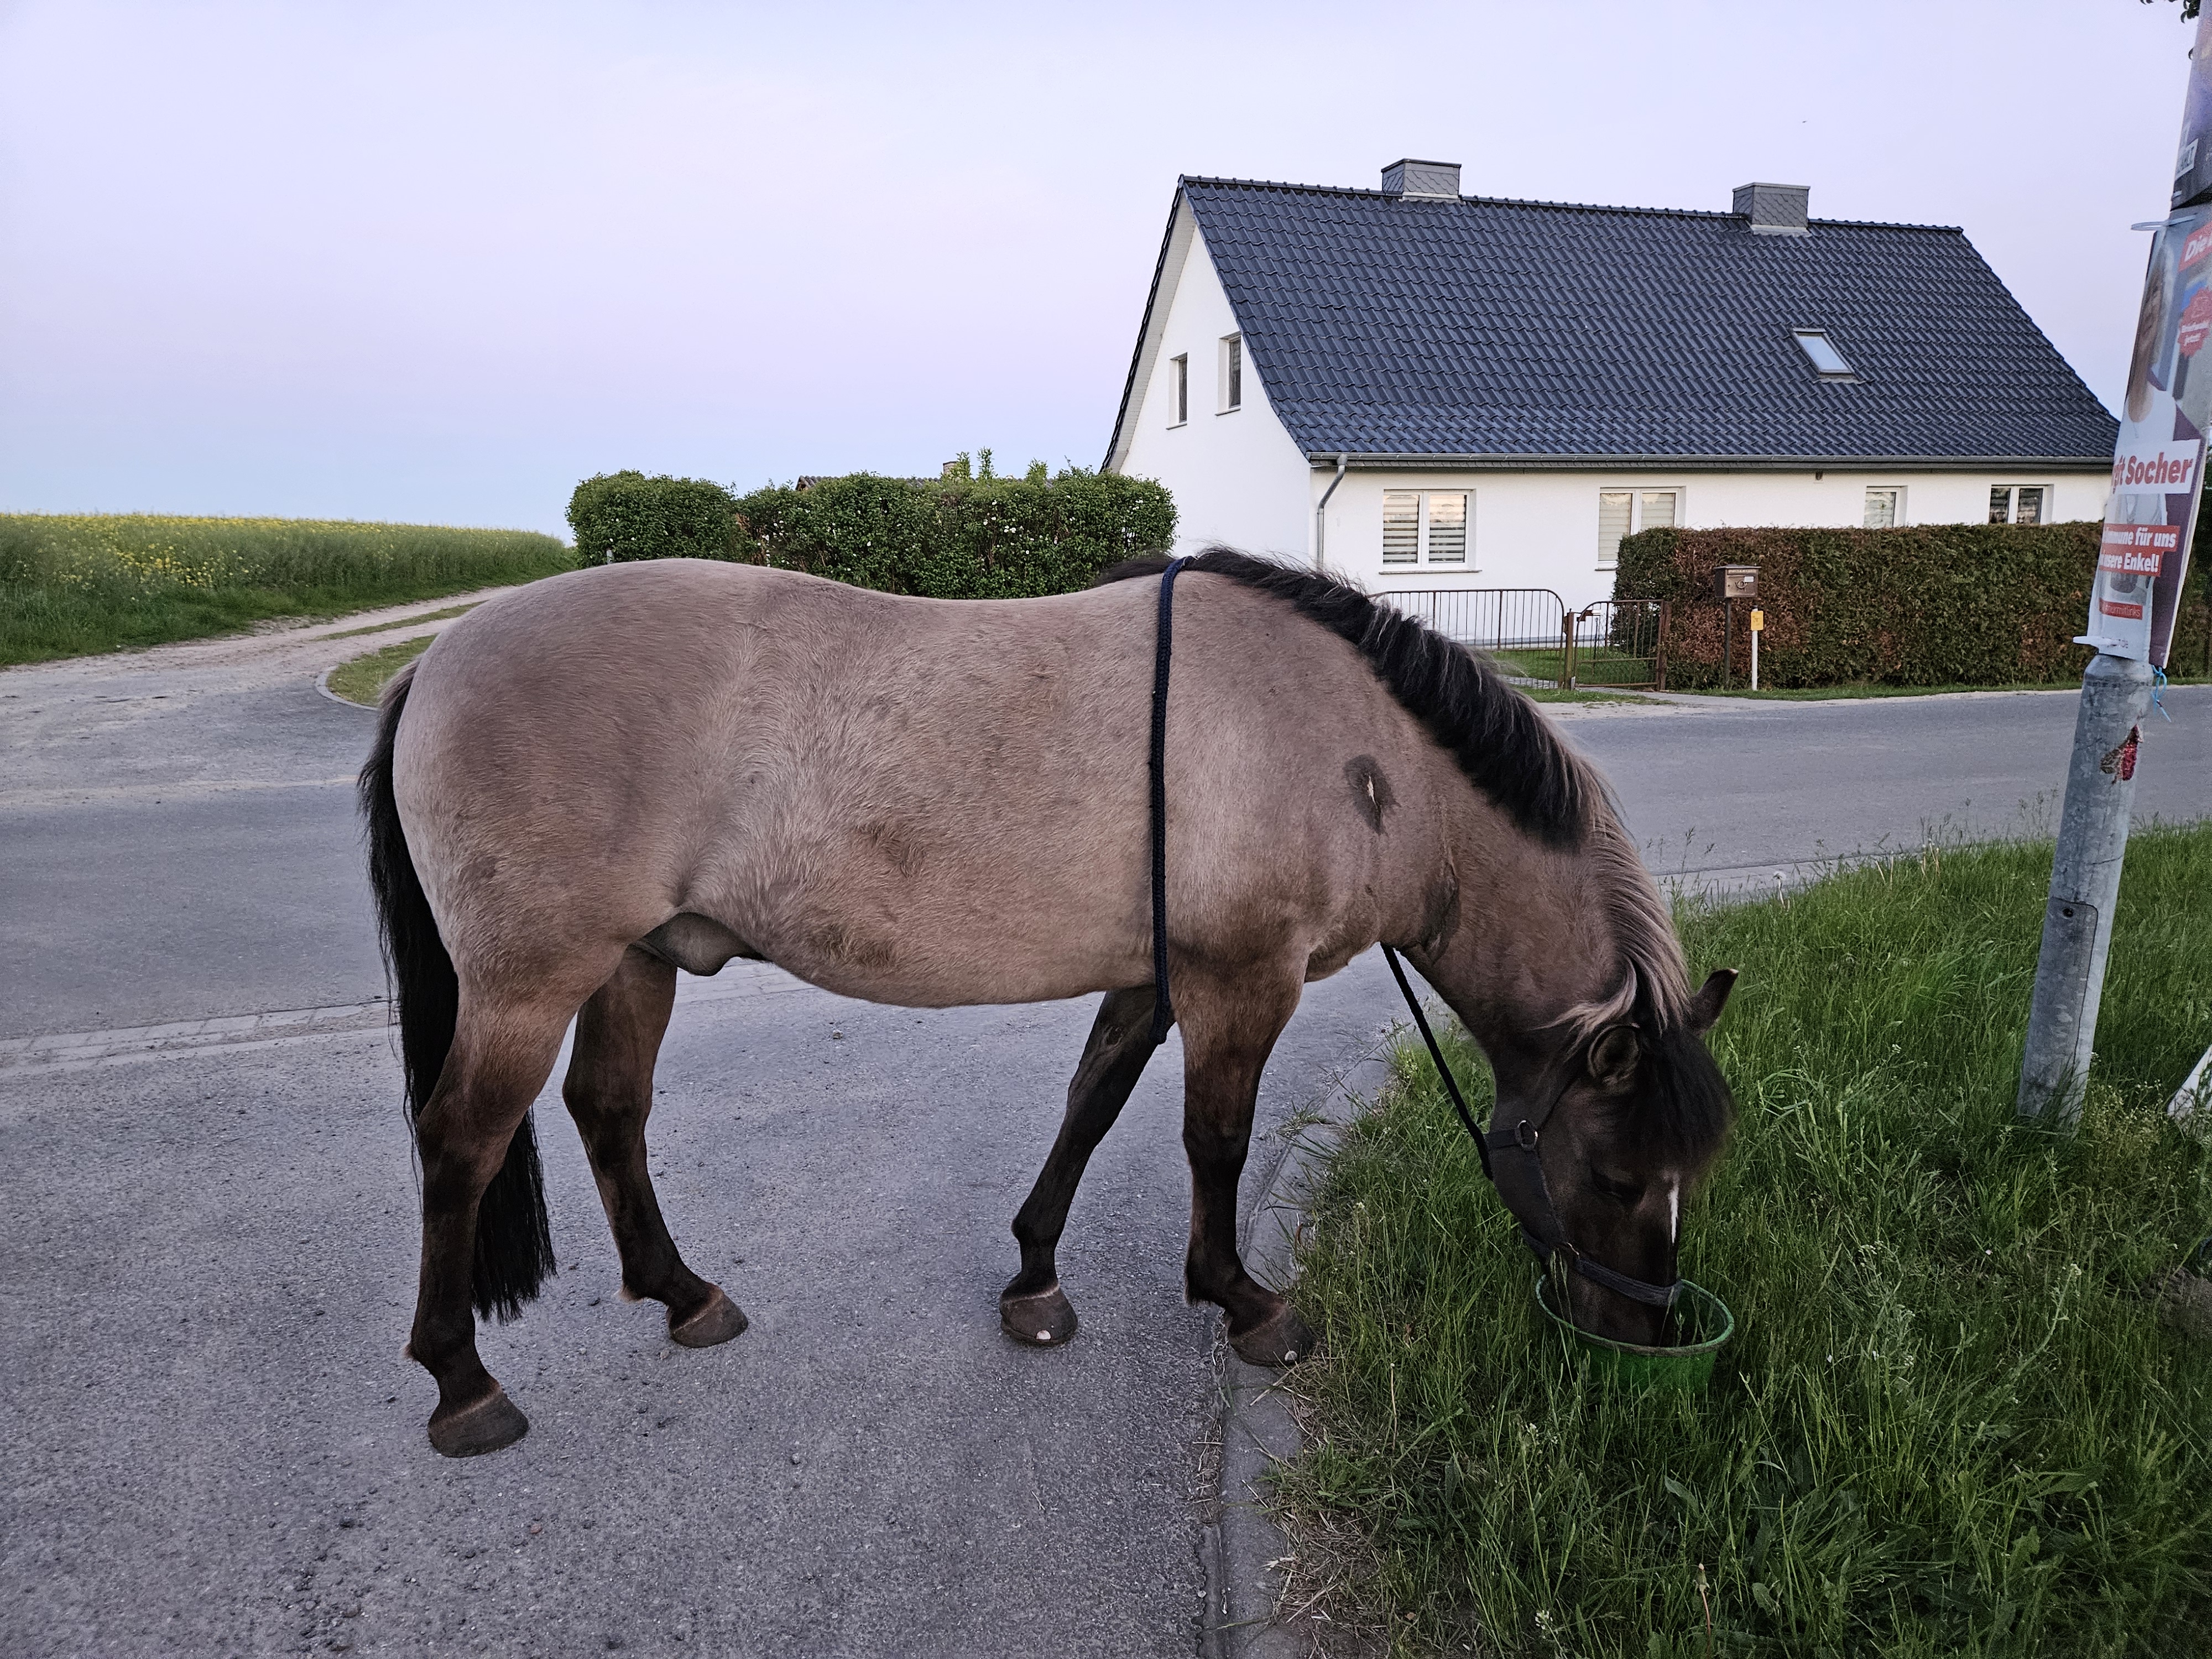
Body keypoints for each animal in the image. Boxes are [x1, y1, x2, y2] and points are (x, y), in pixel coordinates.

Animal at [363, 546, 1734, 1451]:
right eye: (1617, 1176)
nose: (1648, 1338)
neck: (1362, 760)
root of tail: (436, 662)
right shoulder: (1242, 979)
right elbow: (1212, 1140)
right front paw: (1240, 1300)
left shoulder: (1153, 976)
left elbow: (1090, 1106)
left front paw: (1032, 1277)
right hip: (530, 982)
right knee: (458, 1143)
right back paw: (460, 1380)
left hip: (638, 958)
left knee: (609, 1111)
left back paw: (682, 1294)